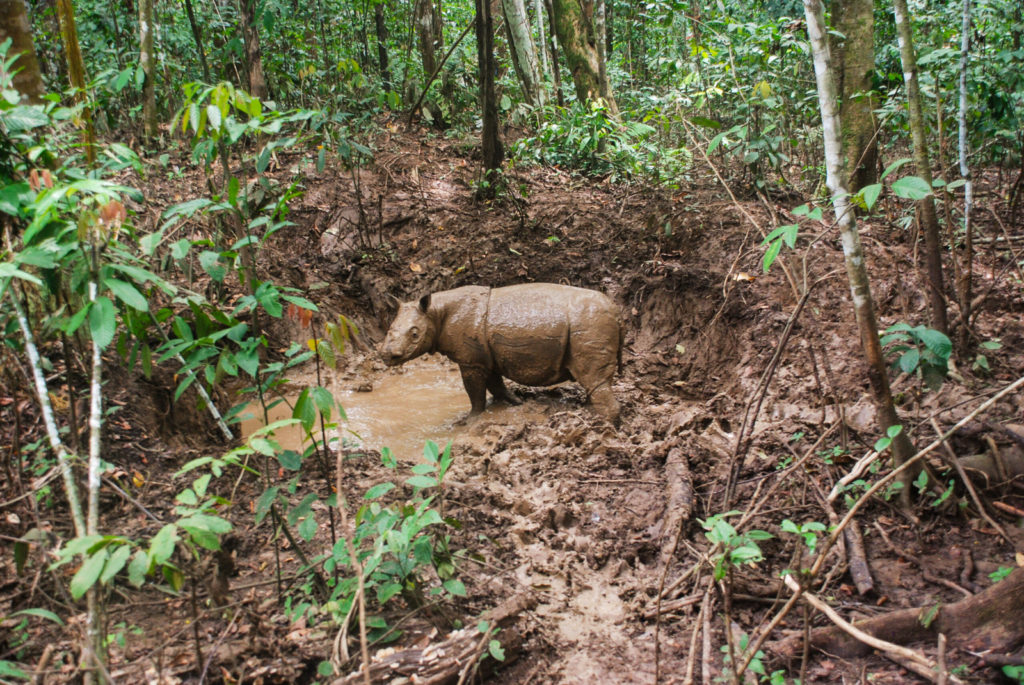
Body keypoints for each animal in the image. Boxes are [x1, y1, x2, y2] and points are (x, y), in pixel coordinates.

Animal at [380, 284, 623, 422]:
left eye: (414, 334)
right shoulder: (486, 356)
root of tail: (616, 309)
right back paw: (590, 412)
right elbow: (495, 384)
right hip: (593, 322)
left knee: (593, 378)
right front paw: (514, 403)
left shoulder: (471, 361)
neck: (435, 313)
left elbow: (475, 393)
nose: (387, 356)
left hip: (590, 323)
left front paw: (470, 420)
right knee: (594, 382)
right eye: (389, 328)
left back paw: (599, 424)